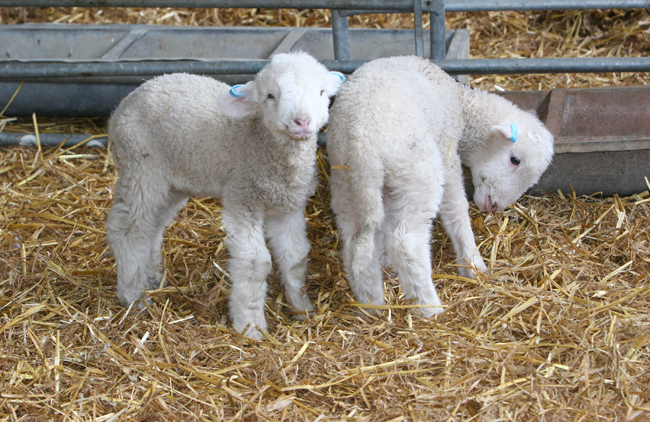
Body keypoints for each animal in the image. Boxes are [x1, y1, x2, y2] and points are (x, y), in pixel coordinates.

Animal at [106, 52, 345, 339]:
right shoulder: (242, 198)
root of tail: (127, 100)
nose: (302, 122)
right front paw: (251, 326)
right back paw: (133, 296)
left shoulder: (286, 206)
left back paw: (151, 278)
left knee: (150, 227)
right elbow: (255, 262)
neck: (260, 141)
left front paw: (302, 309)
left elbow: (295, 257)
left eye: (321, 92)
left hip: (172, 182)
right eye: (270, 96)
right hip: (140, 167)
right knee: (126, 229)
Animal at [326, 55, 554, 317]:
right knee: (407, 243)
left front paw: (387, 265)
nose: (494, 207)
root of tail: (362, 148)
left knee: (356, 246)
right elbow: (456, 208)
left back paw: (372, 305)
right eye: (515, 160)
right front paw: (473, 265)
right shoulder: (448, 154)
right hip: (417, 176)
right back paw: (430, 308)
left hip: (349, 185)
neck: (461, 105)